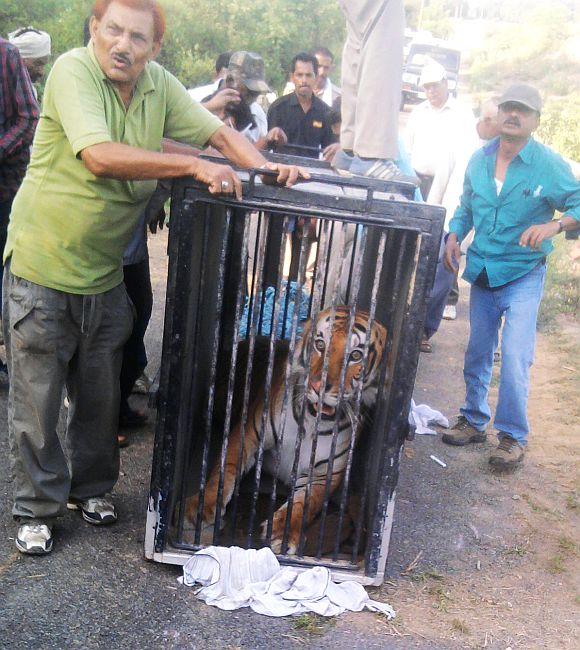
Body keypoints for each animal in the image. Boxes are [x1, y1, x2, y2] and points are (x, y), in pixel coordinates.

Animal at [184, 304, 388, 552]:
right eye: (320, 344)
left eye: (356, 355)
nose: (318, 386)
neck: (312, 423)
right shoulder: (249, 435)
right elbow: (224, 470)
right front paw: (203, 505)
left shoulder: (324, 474)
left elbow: (305, 504)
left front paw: (283, 533)